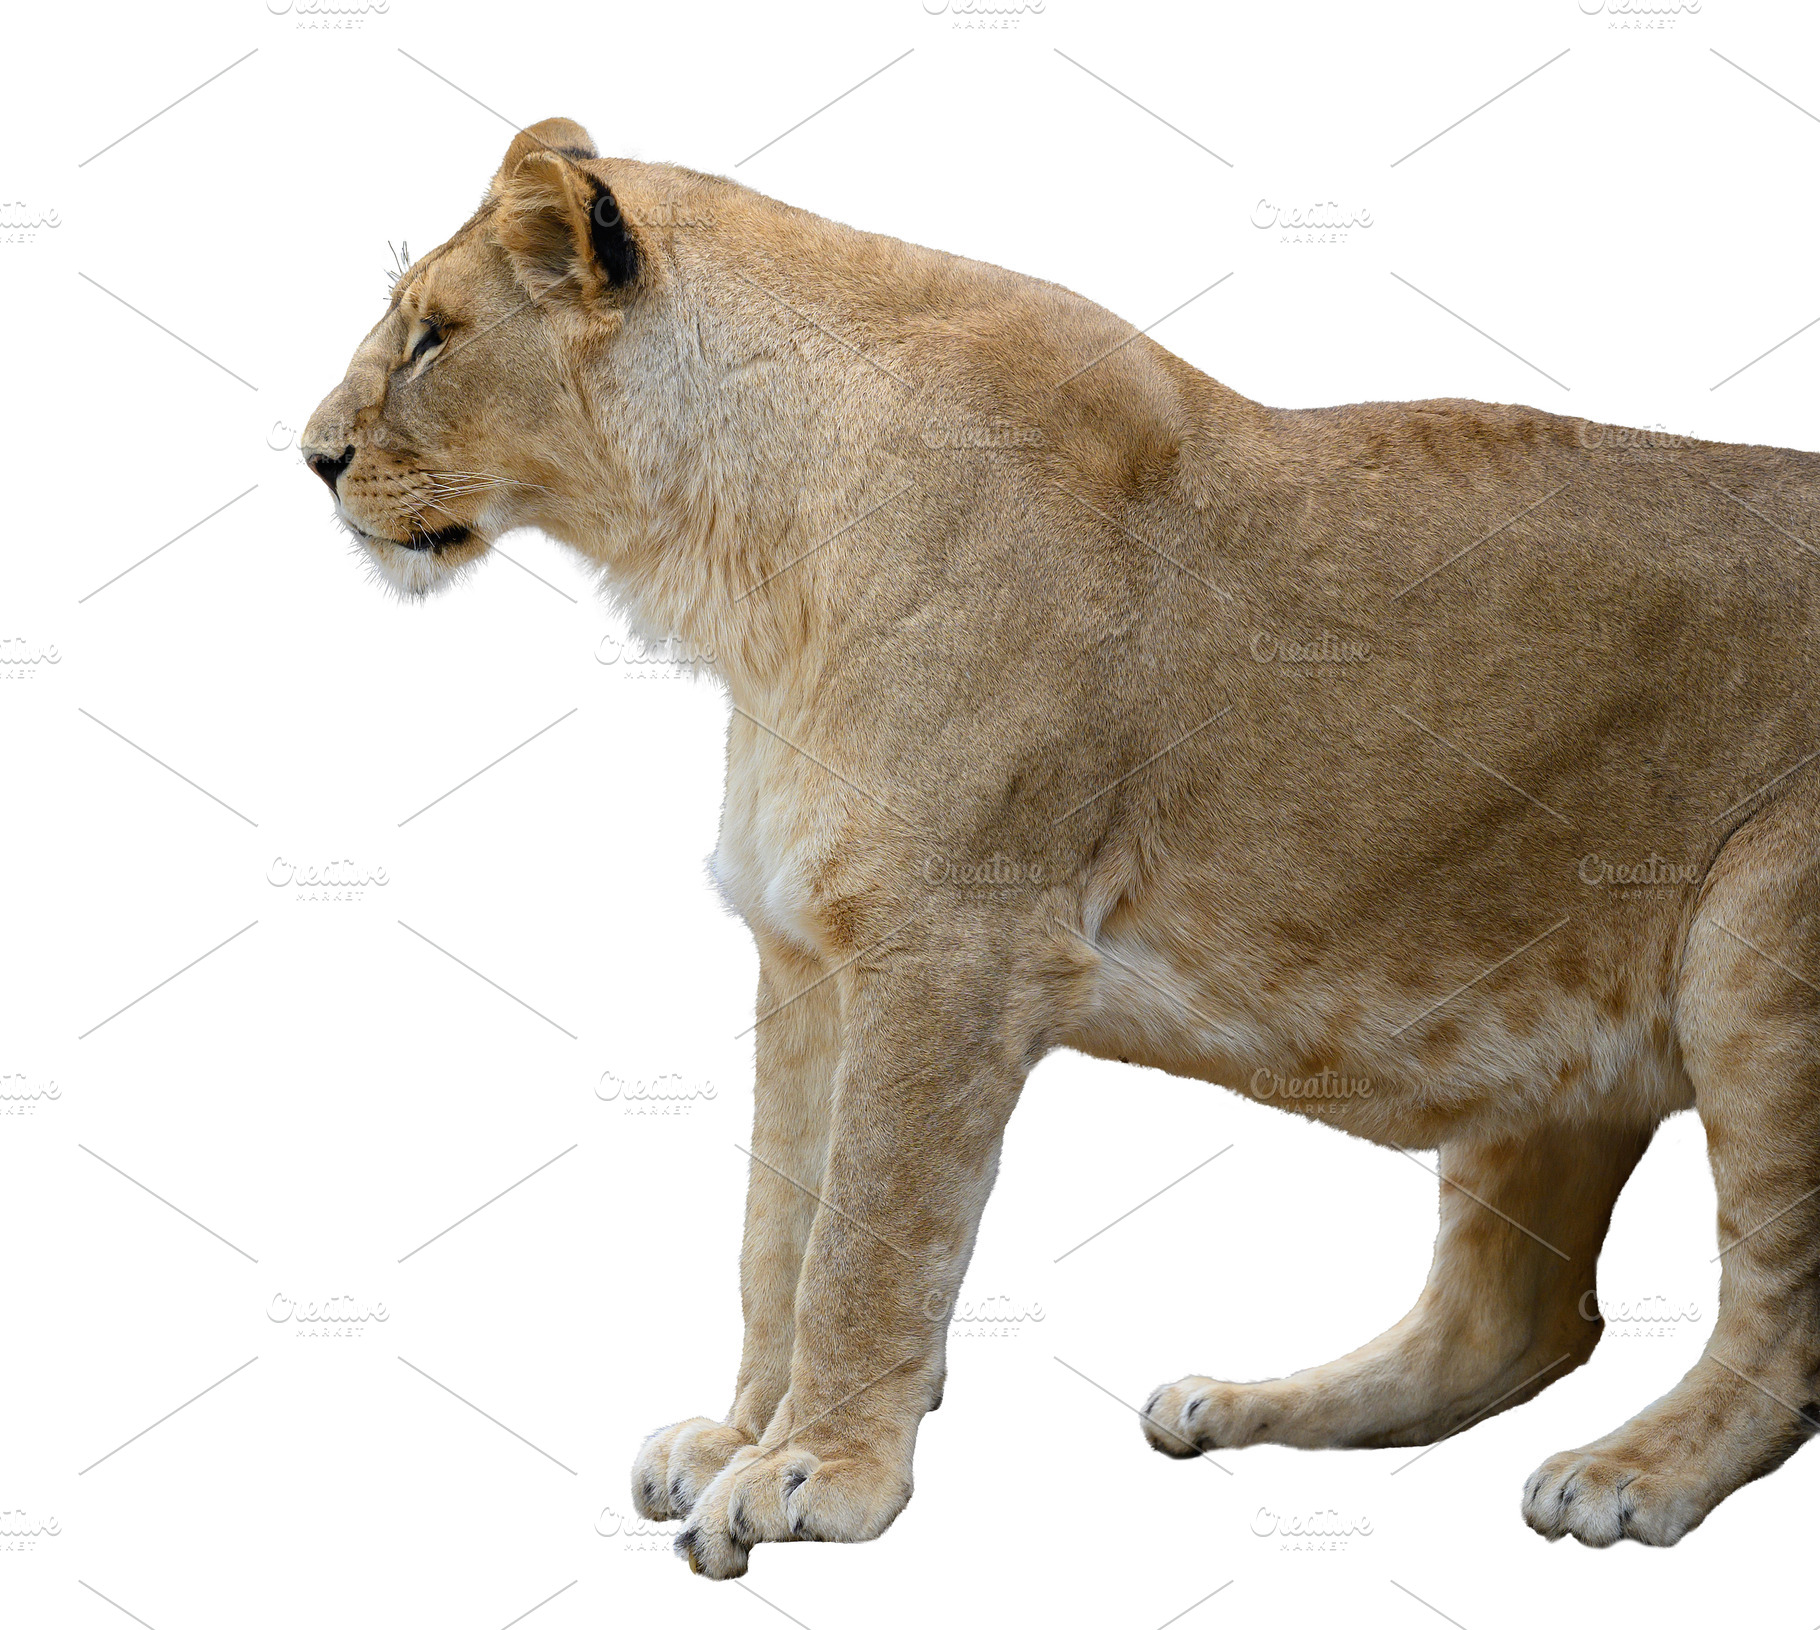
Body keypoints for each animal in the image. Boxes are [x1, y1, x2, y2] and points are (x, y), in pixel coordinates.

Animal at [305, 118, 1820, 1574]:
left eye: (433, 335)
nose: (314, 458)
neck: (743, 565)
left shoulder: (951, 948)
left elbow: (865, 1233)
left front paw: (813, 1477)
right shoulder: (805, 950)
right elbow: (774, 1224)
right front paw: (741, 1433)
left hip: (1757, 958)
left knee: (1776, 1319)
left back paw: (1633, 1472)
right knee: (1512, 1323)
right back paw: (1241, 1404)